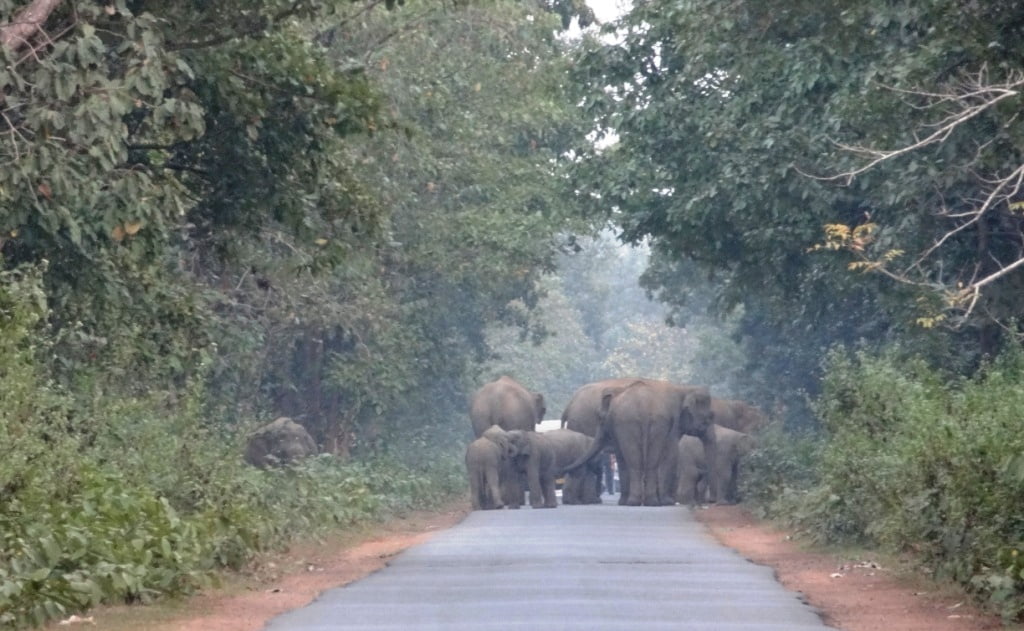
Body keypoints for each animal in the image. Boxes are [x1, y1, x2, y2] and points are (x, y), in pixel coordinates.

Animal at [561, 379, 712, 508]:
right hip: (595, 423)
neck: (684, 388)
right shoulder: (674, 421)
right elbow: (670, 453)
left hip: (643, 421)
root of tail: (570, 403)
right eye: (708, 417)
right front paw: (667, 502)